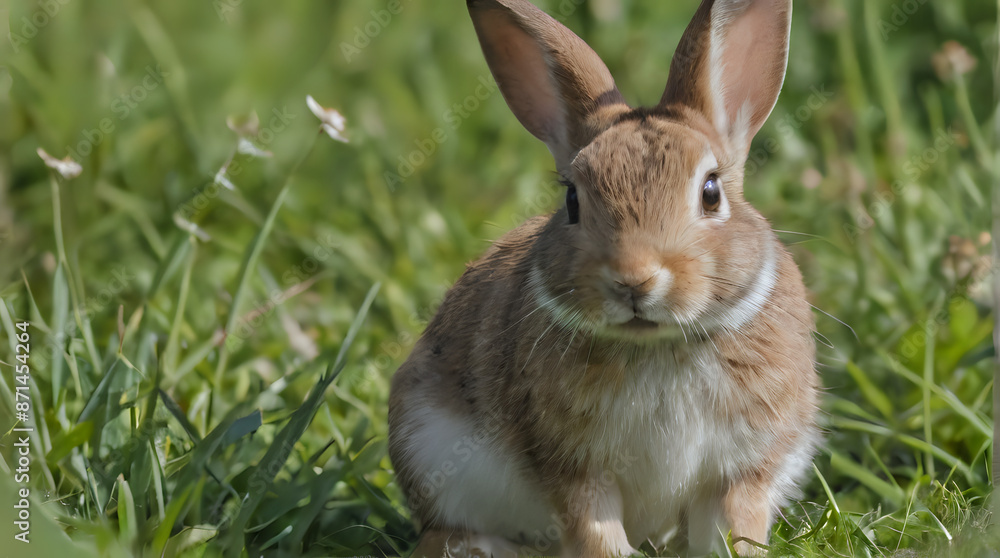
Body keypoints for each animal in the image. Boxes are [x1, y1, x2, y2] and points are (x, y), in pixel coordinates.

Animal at [388, 0, 820, 556]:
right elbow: (594, 529)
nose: (634, 280)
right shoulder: (575, 469)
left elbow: (734, 528)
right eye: (572, 200)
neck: (658, 344)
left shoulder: (741, 470)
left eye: (711, 192)